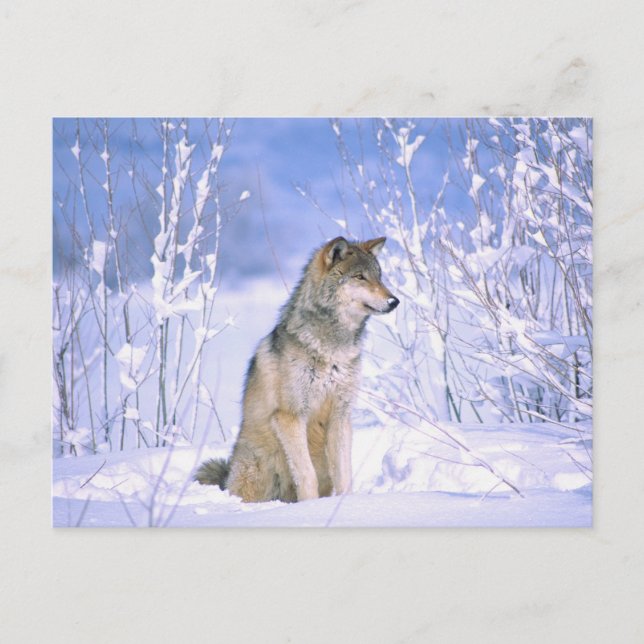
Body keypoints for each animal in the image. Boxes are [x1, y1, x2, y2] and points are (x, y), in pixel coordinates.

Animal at [195, 236, 399, 502]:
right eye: (359, 277)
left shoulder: (340, 416)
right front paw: (310, 506)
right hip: (256, 468)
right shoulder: (290, 416)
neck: (332, 349)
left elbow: (345, 475)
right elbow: (306, 474)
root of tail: (226, 477)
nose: (394, 301)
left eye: (379, 276)